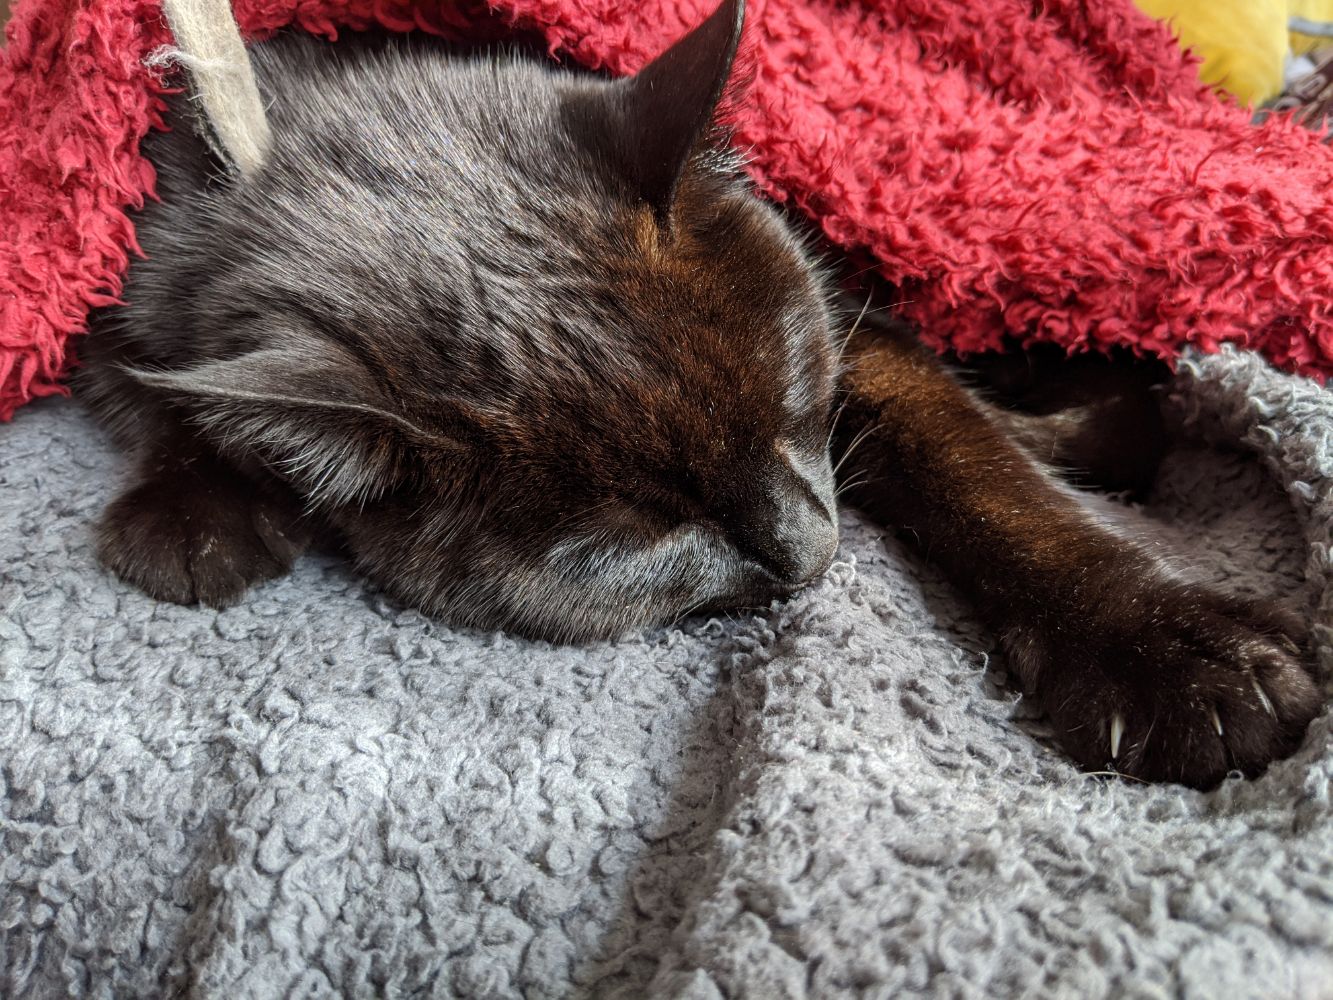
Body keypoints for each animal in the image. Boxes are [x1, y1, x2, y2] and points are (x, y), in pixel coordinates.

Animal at [83, 0, 1322, 789]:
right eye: (636, 541)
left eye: (792, 387)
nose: (816, 550)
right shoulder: (141, 251)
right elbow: (154, 374)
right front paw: (194, 506)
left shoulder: (859, 338)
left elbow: (981, 470)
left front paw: (1171, 651)